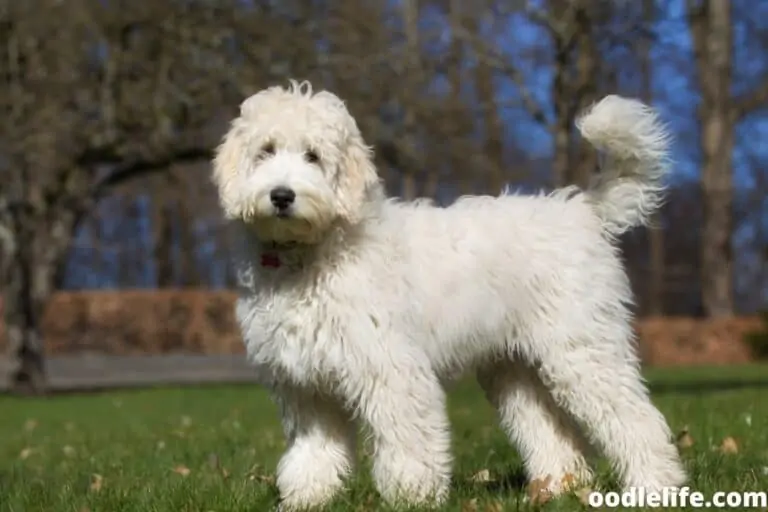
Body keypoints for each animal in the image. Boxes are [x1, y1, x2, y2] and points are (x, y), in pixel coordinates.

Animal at [213, 82, 688, 510]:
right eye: (266, 151)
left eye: (313, 155)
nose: (281, 195)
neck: (309, 254)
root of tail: (582, 209)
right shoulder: (307, 387)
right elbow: (313, 450)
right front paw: (306, 498)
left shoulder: (392, 369)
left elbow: (408, 439)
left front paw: (412, 495)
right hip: (516, 369)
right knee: (553, 432)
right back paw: (554, 490)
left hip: (583, 350)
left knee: (636, 419)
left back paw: (652, 488)